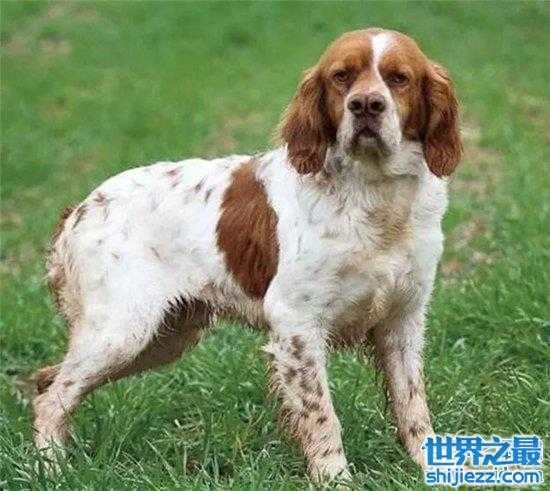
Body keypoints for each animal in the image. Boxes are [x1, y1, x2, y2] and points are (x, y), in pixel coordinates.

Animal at [33, 27, 461, 482]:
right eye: (341, 76)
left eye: (399, 78)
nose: (365, 105)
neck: (374, 197)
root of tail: (78, 211)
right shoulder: (295, 323)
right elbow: (322, 415)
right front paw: (336, 479)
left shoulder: (403, 320)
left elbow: (413, 406)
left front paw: (432, 468)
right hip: (121, 332)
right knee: (51, 395)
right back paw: (52, 471)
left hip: (163, 336)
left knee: (46, 379)